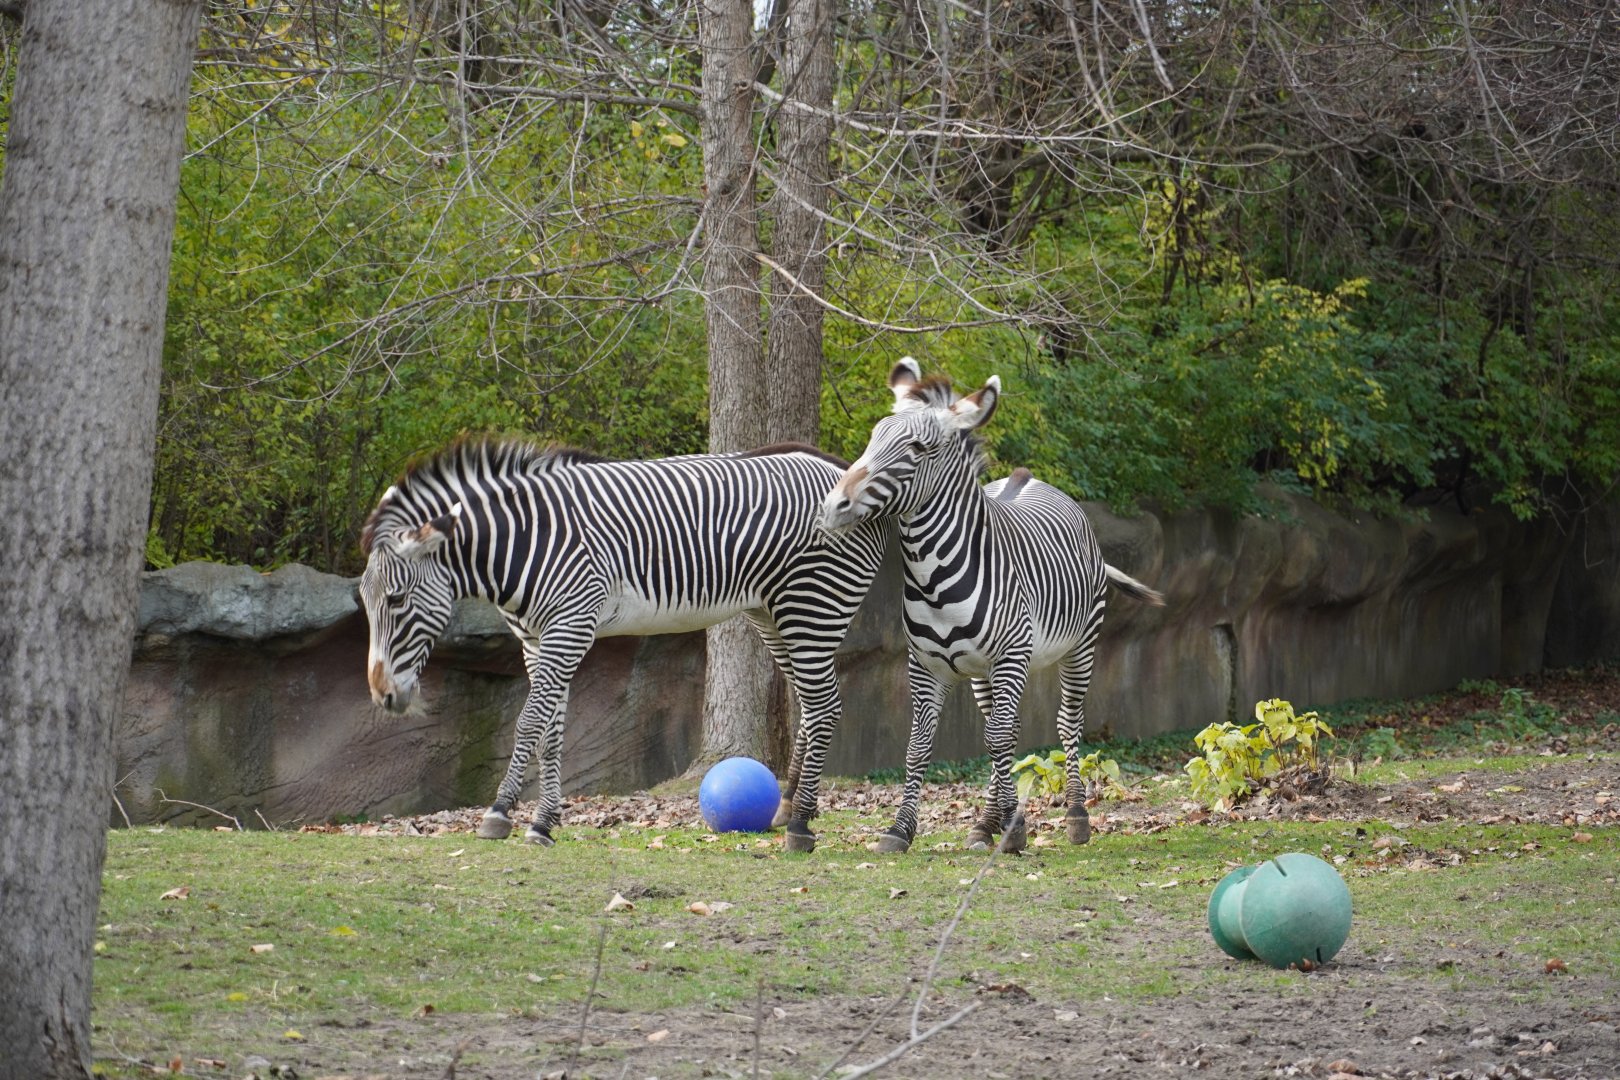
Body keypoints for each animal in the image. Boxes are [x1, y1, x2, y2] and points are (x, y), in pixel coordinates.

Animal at [359, 436, 891, 852]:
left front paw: (499, 812)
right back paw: (788, 808)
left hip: (812, 607)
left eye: (396, 599)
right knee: (810, 705)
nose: (383, 696)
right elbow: (551, 731)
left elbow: (528, 722)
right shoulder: (537, 640)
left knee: (825, 706)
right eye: (363, 599)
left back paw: (800, 825)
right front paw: (544, 823)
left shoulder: (569, 627)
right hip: (772, 614)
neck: (525, 541)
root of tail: (841, 470)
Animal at [819, 358, 1164, 854]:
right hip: (984, 671)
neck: (934, 580)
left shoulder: (1011, 656)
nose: (833, 507)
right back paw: (986, 823)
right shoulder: (923, 665)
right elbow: (921, 745)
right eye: (873, 436)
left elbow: (1000, 738)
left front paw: (1015, 830)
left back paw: (1076, 818)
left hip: (1078, 646)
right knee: (1003, 728)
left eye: (918, 447)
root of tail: (1027, 477)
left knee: (1064, 723)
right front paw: (902, 829)